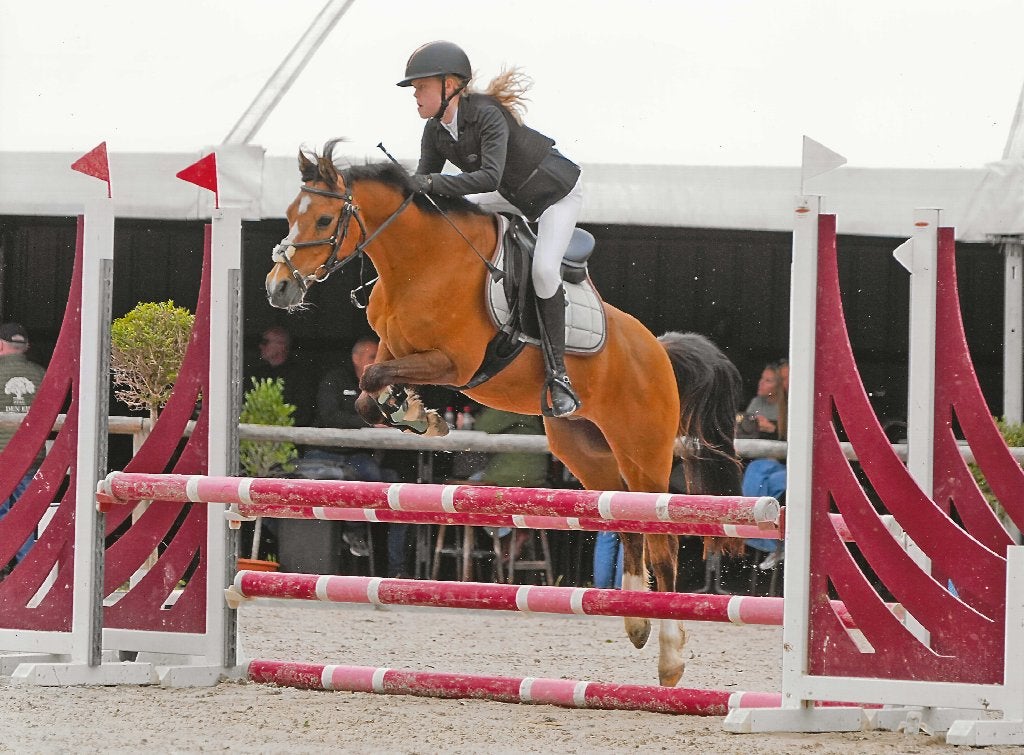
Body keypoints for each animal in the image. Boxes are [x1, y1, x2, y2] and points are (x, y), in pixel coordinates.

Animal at [265, 140, 744, 687]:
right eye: (290, 214)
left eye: (324, 219)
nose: (278, 288)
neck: (420, 262)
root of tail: (660, 350)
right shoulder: (394, 348)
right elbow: (369, 391)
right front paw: (419, 416)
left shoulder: (454, 363)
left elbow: (371, 380)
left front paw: (419, 414)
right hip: (585, 449)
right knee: (625, 520)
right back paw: (636, 623)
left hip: (643, 451)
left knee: (662, 538)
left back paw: (669, 656)